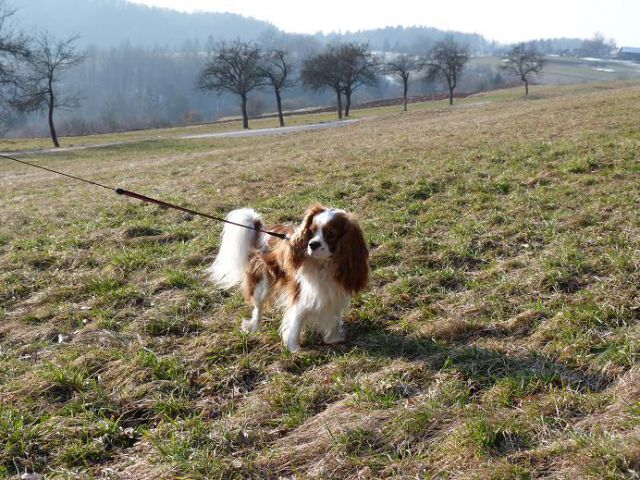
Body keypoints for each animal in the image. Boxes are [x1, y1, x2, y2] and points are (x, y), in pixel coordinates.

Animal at [209, 204, 370, 350]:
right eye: (311, 232)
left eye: (330, 234)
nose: (312, 244)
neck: (324, 265)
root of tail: (262, 231)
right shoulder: (301, 295)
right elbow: (295, 322)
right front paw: (293, 348)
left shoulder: (334, 294)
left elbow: (334, 318)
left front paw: (333, 338)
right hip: (262, 284)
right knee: (258, 308)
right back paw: (253, 326)